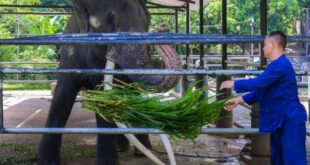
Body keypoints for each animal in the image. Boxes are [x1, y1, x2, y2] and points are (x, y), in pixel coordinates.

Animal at [37, 0, 182, 164]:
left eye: (148, 21)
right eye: (109, 21)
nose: (162, 27)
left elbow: (105, 100)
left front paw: (108, 162)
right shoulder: (70, 52)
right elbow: (62, 97)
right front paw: (45, 160)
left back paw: (140, 151)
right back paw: (122, 148)